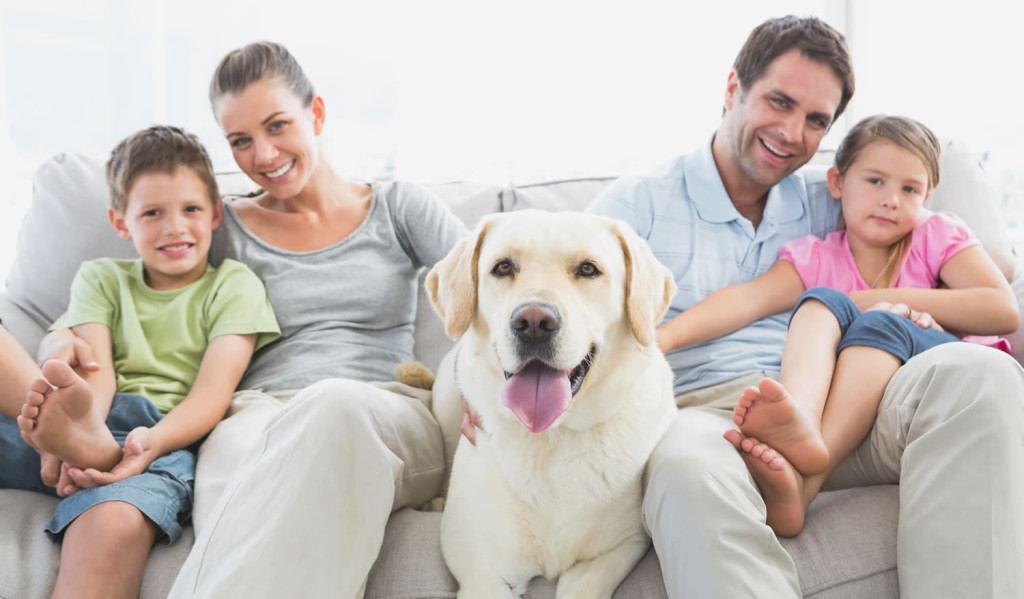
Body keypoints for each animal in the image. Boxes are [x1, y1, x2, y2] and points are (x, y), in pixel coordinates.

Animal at [425, 207, 675, 593]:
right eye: (502, 267)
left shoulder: (614, 550)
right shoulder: (485, 575)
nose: (533, 323)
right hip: (448, 402)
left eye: (588, 269)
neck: (550, 438)